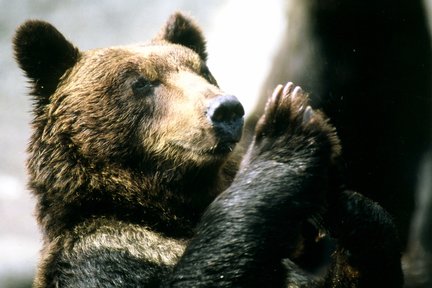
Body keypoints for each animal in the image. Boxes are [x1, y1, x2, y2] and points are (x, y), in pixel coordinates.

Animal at [14, 11, 404, 288]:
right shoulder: (106, 257)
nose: (226, 109)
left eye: (202, 70)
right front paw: (286, 130)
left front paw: (345, 206)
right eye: (141, 82)